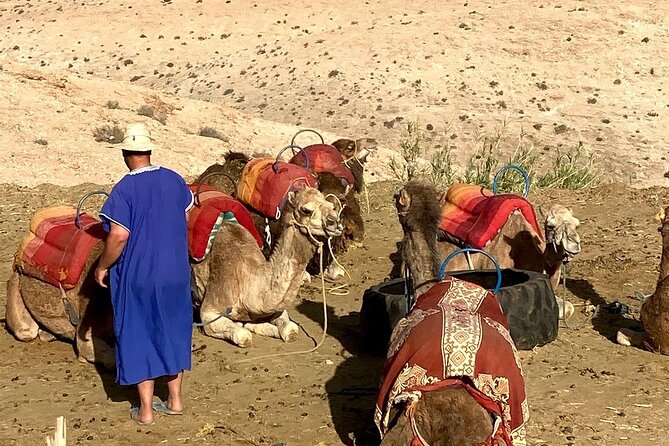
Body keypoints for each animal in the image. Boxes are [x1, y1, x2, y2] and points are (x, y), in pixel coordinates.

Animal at [190, 186, 343, 347]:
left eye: (332, 206)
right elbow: (243, 335)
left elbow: (291, 330)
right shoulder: (209, 311)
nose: (335, 222)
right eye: (305, 210)